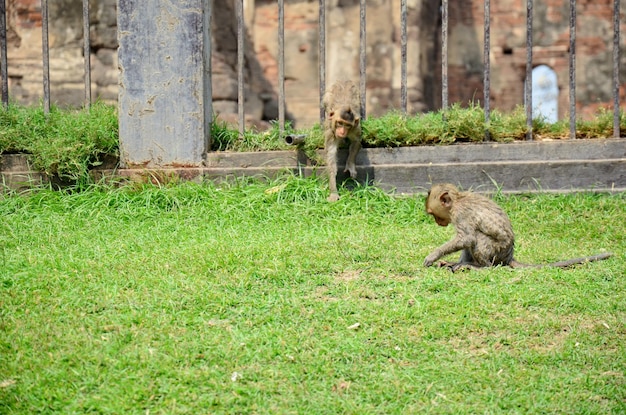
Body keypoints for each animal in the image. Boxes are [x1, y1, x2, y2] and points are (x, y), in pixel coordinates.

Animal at [422, 184, 612, 272]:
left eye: (432, 213)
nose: (438, 222)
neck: (457, 201)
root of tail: (508, 257)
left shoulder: (461, 215)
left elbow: (467, 238)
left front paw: (433, 255)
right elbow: (465, 241)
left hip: (497, 252)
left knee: (478, 238)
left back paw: (479, 267)